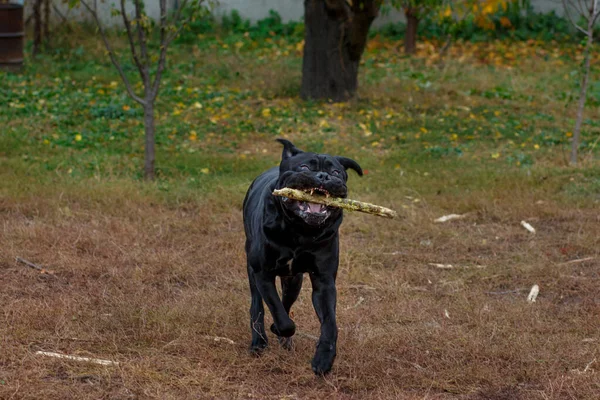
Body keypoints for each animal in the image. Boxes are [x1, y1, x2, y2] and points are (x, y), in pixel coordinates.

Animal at [243, 138, 360, 376]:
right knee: (258, 306)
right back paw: (259, 342)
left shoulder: (324, 281)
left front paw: (324, 358)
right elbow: (279, 314)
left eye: (336, 172)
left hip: (293, 280)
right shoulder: (263, 274)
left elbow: (329, 323)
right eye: (305, 167)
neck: (300, 231)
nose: (323, 176)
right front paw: (279, 329)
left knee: (286, 302)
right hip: (252, 271)